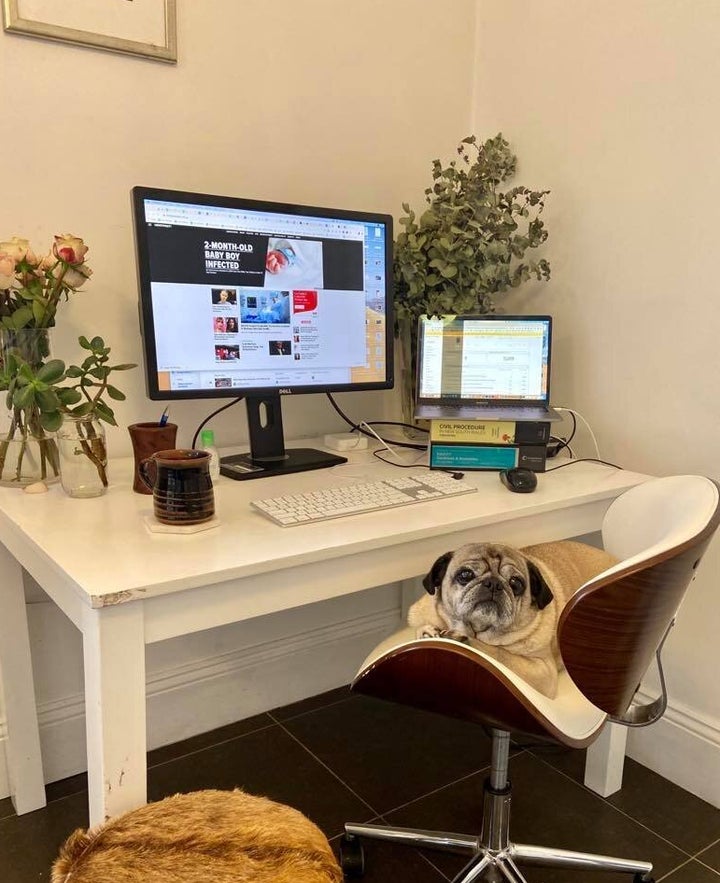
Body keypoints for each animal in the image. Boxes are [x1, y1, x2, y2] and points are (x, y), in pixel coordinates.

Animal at [408, 540, 616, 696]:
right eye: (465, 575)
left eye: (516, 583)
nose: (493, 583)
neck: (479, 629)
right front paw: (427, 632)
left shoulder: (542, 670)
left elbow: (500, 653)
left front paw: (461, 638)